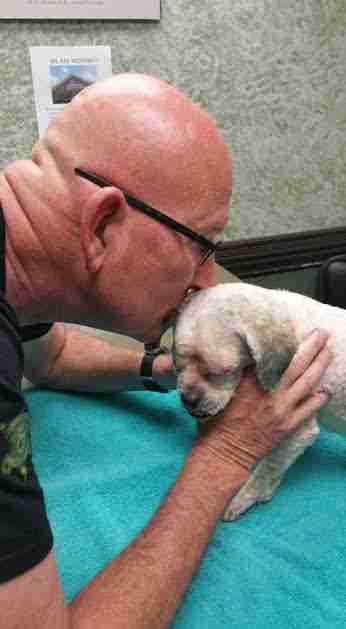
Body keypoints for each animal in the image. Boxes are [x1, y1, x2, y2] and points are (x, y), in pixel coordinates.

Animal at [173, 284, 346, 520]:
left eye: (221, 372)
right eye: (178, 365)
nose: (188, 399)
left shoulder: (299, 428)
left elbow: (268, 467)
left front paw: (244, 498)